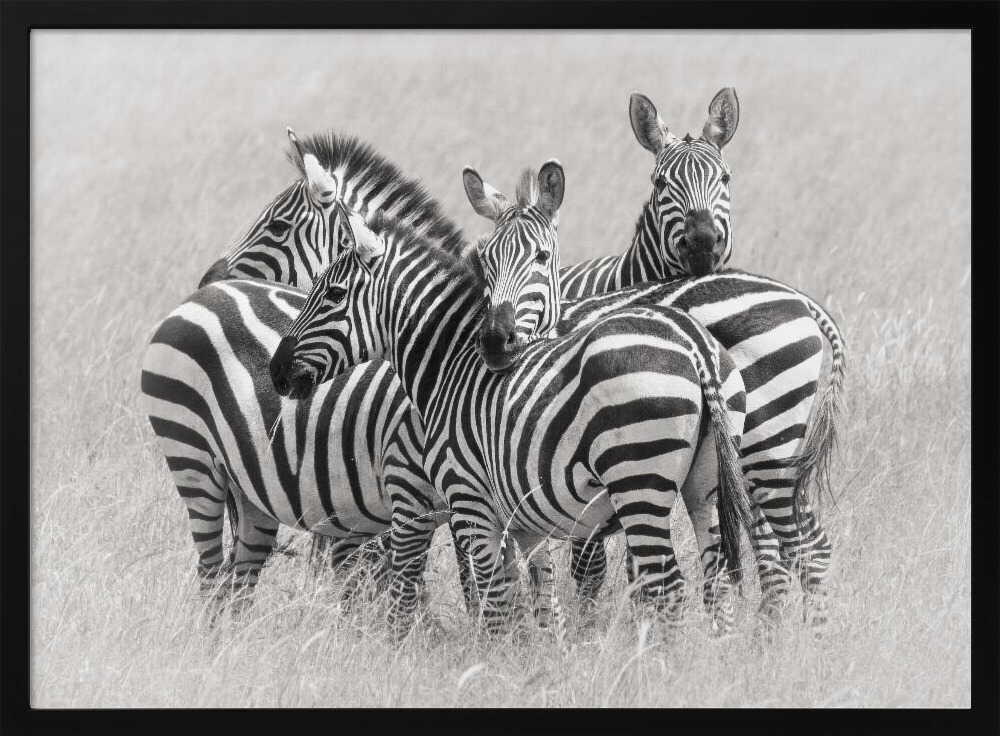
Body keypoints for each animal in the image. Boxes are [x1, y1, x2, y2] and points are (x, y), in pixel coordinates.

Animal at [270, 210, 756, 637]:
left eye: (333, 294)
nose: (275, 372)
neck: (450, 367)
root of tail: (693, 344)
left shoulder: (470, 502)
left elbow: (495, 603)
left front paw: (492, 664)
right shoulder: (523, 519)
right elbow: (541, 600)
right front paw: (541, 664)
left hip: (638, 482)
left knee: (668, 586)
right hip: (705, 487)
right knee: (715, 581)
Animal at [464, 89, 845, 627]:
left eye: (726, 179)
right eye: (661, 183)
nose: (703, 242)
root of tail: (803, 302)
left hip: (764, 442)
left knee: (788, 545)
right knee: (799, 544)